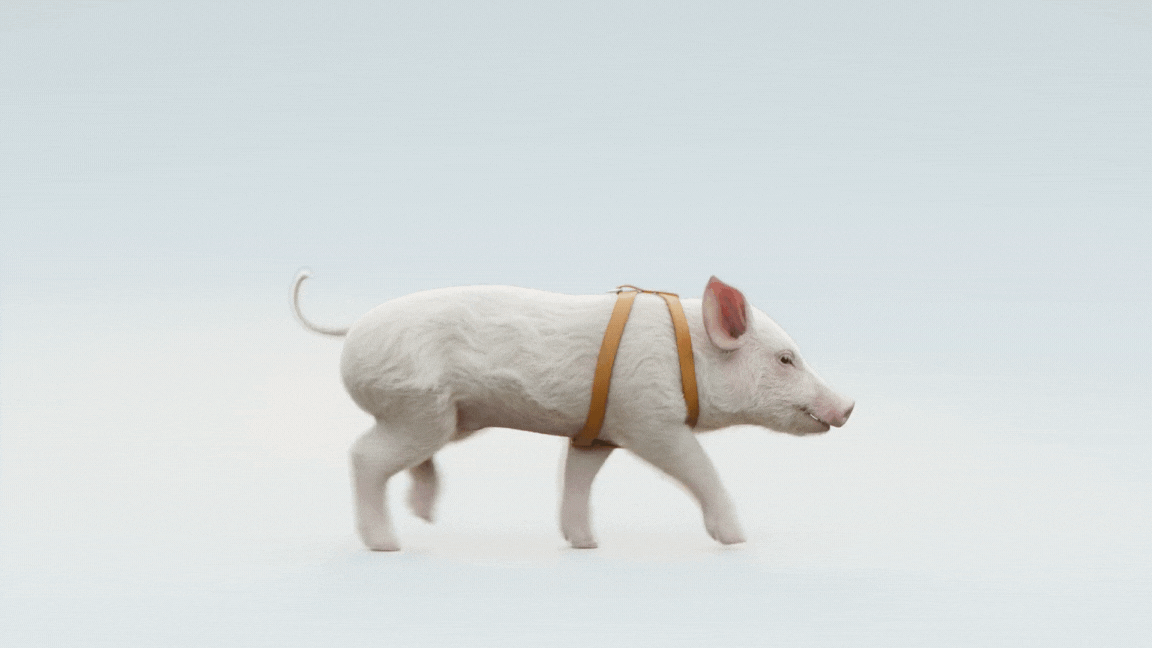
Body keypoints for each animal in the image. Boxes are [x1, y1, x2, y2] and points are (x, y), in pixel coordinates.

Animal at [292, 272, 854, 551]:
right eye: (786, 359)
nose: (850, 405)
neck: (689, 356)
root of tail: (352, 328)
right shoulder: (648, 418)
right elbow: (697, 466)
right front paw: (737, 540)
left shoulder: (600, 431)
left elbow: (578, 477)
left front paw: (584, 544)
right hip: (416, 405)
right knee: (364, 456)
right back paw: (387, 545)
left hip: (443, 418)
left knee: (408, 458)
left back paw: (425, 515)